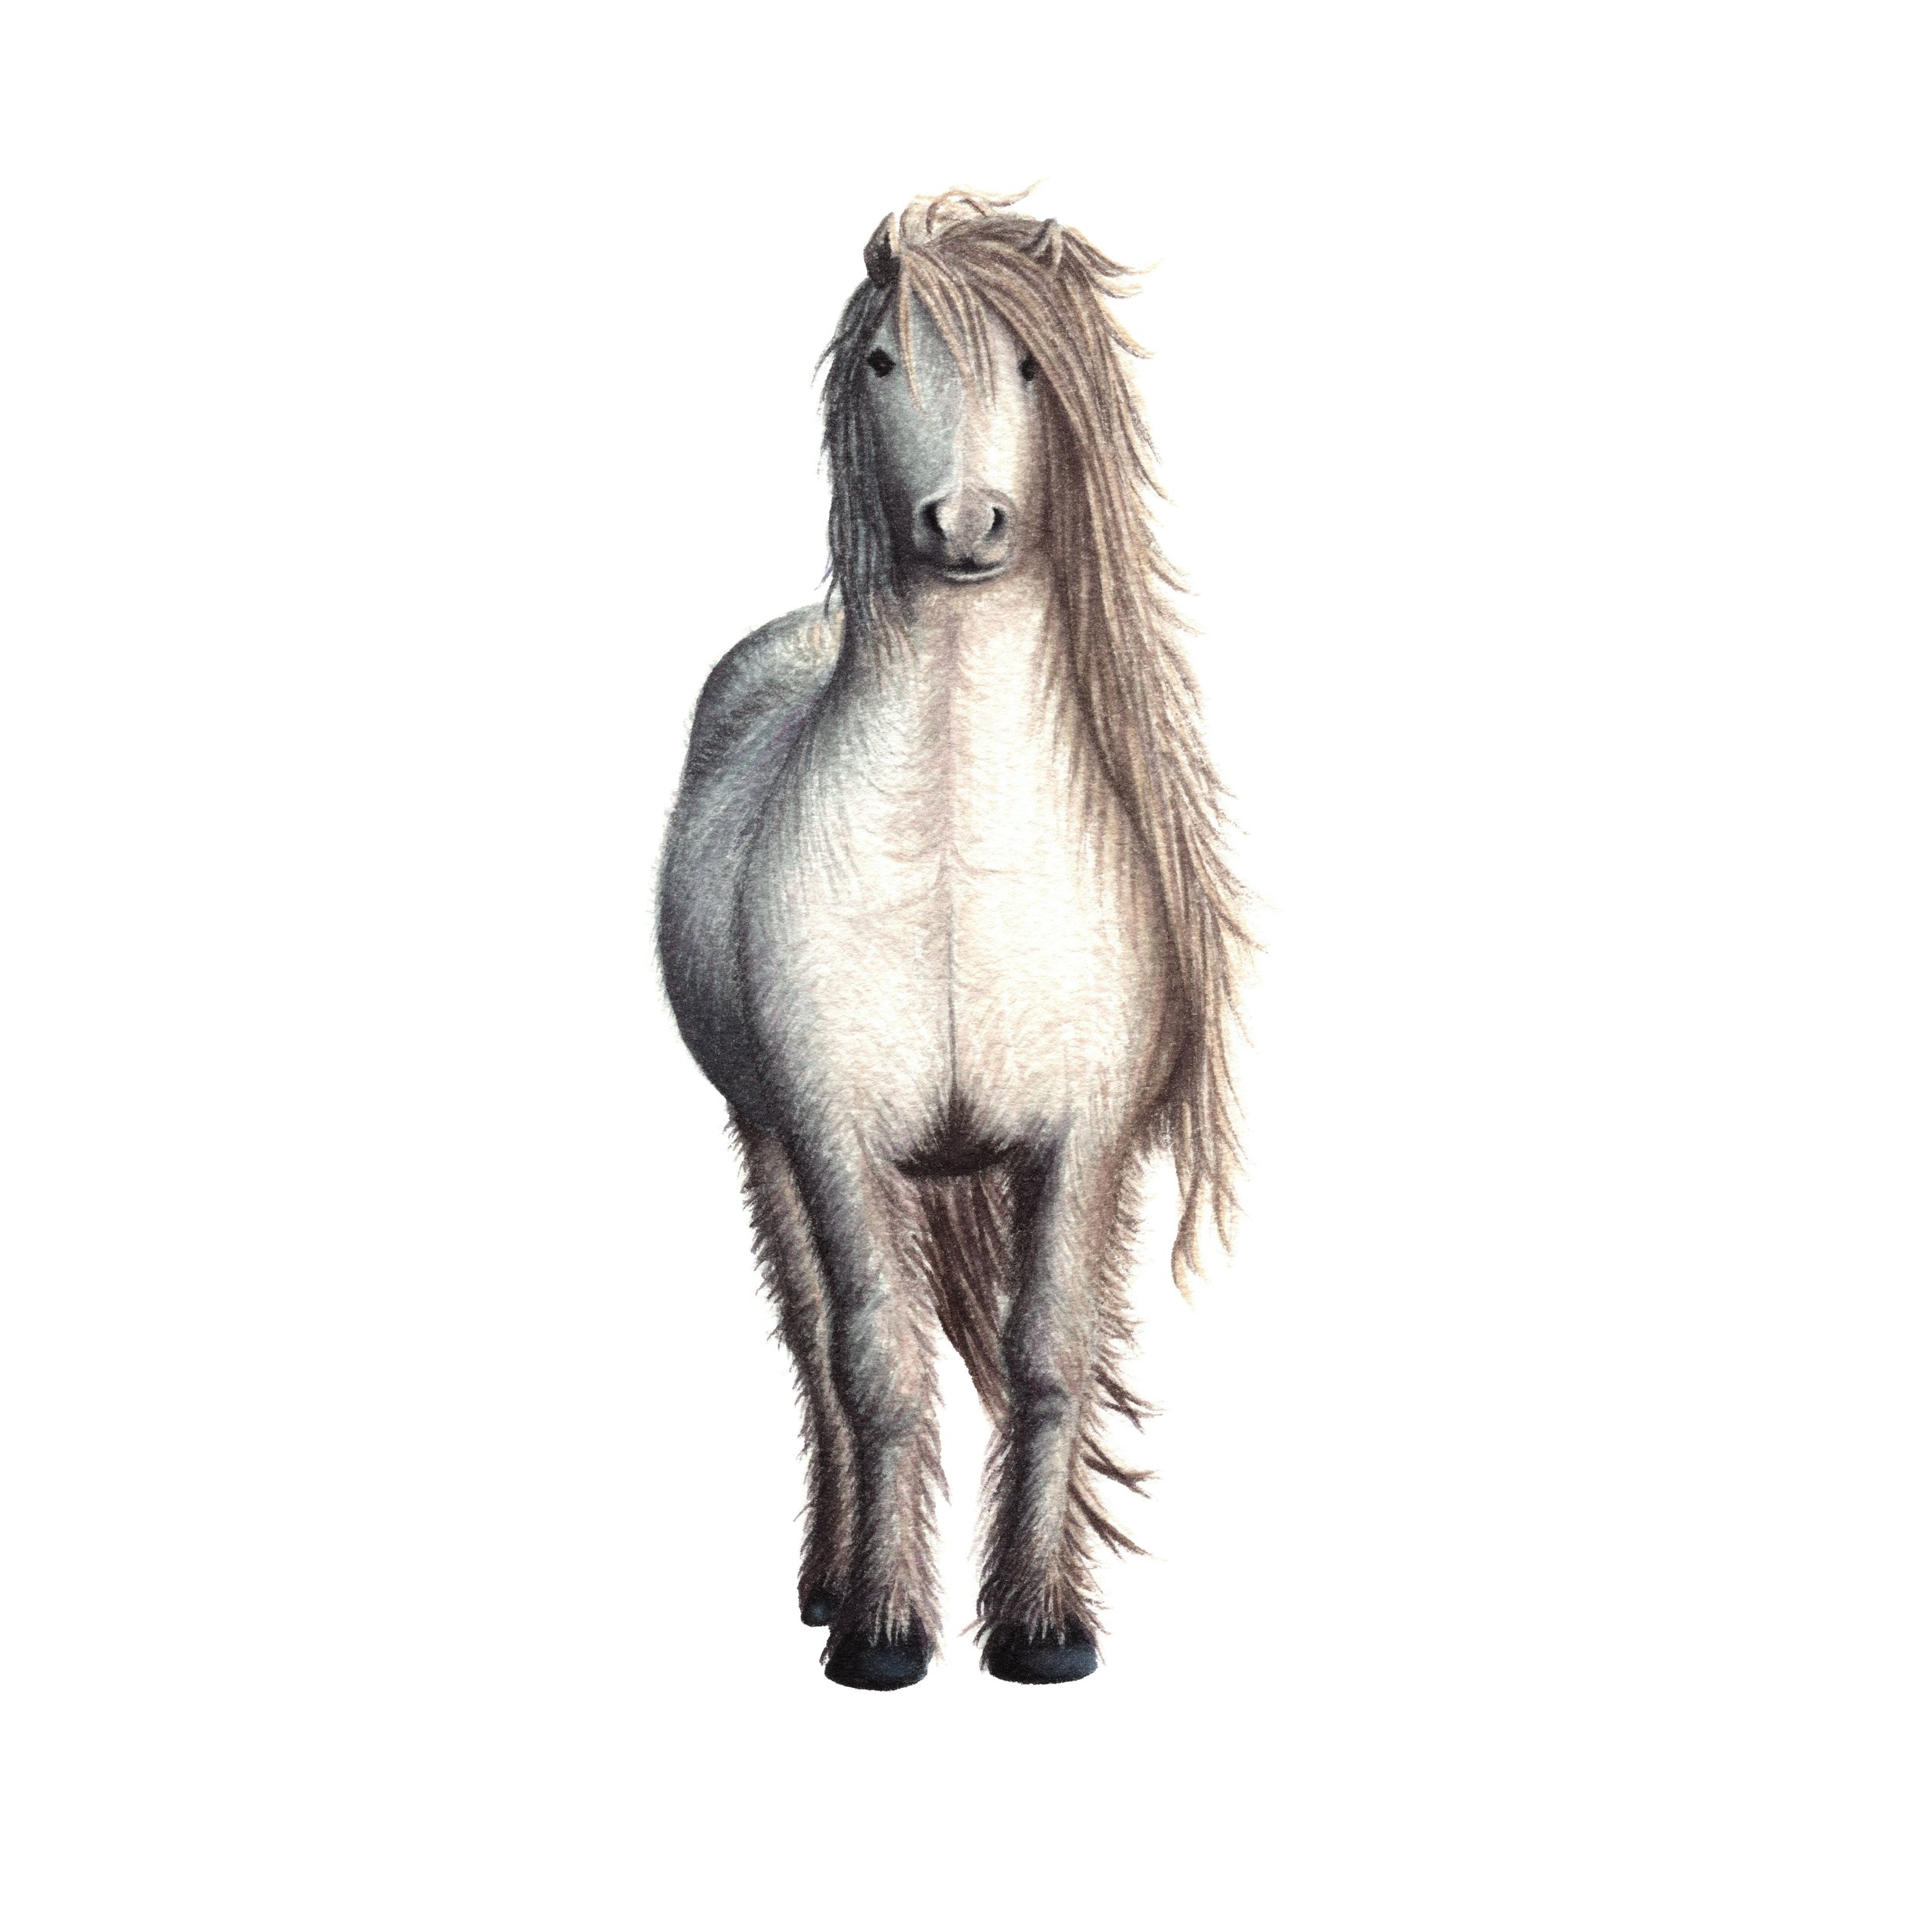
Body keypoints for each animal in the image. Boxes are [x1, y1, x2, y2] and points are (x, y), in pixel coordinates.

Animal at [658, 189, 1248, 1690]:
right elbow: (875, 1368)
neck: (951, 861)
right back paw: (827, 1582)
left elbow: (1048, 1359)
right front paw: (881, 1632)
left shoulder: (1083, 1145)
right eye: (882, 360)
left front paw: (1041, 1628)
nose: (965, 521)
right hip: (764, 1141)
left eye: (1031, 368)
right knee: (816, 1348)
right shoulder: (834, 1134)